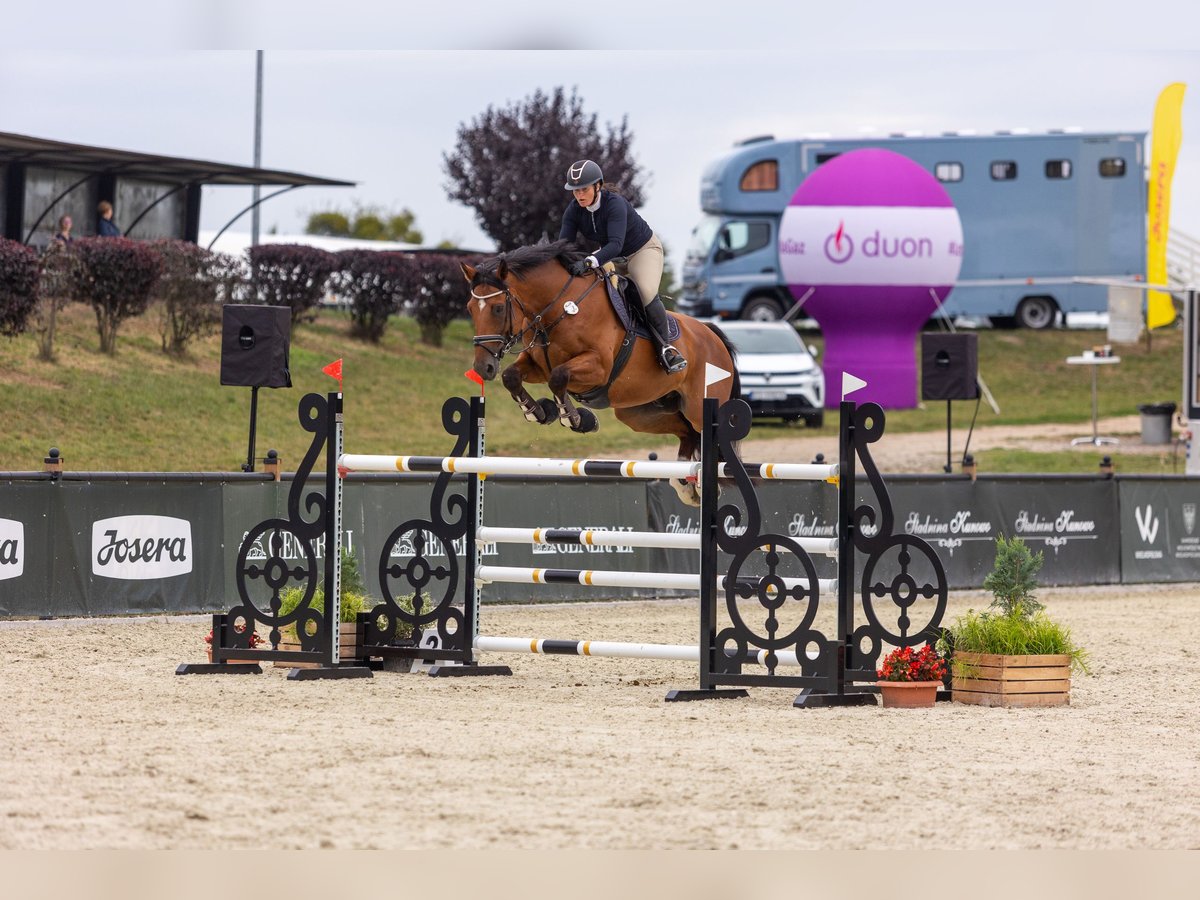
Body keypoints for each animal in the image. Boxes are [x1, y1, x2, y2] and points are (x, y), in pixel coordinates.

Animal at [460, 240, 734, 508]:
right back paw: (687, 487)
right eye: (470, 308)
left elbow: (558, 377)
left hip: (697, 407)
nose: (482, 368)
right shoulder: (537, 365)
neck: (558, 309)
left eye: (497, 308)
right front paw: (540, 412)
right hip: (640, 413)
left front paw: (576, 419)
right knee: (686, 433)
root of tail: (710, 333)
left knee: (703, 432)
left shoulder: (598, 367)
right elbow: (512, 376)